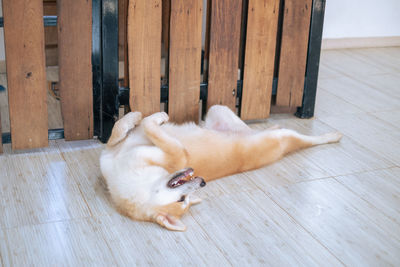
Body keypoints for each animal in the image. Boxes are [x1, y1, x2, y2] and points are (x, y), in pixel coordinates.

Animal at [99, 105, 340, 231]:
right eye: (182, 201)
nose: (202, 181)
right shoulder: (176, 155)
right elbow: (131, 129)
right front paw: (147, 118)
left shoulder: (118, 151)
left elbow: (120, 129)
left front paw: (140, 116)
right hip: (280, 138)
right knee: (307, 141)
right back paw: (331, 135)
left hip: (219, 110)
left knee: (253, 127)